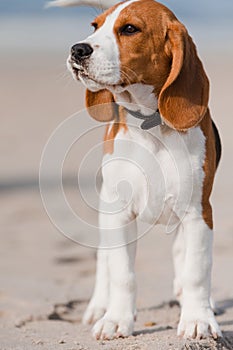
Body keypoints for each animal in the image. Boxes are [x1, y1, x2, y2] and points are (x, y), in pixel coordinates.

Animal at [49, 0, 222, 342]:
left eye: (130, 29)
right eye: (94, 26)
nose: (77, 49)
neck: (150, 125)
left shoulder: (198, 213)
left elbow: (196, 270)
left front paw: (197, 318)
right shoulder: (118, 215)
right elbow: (122, 274)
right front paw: (117, 319)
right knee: (104, 260)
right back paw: (99, 306)